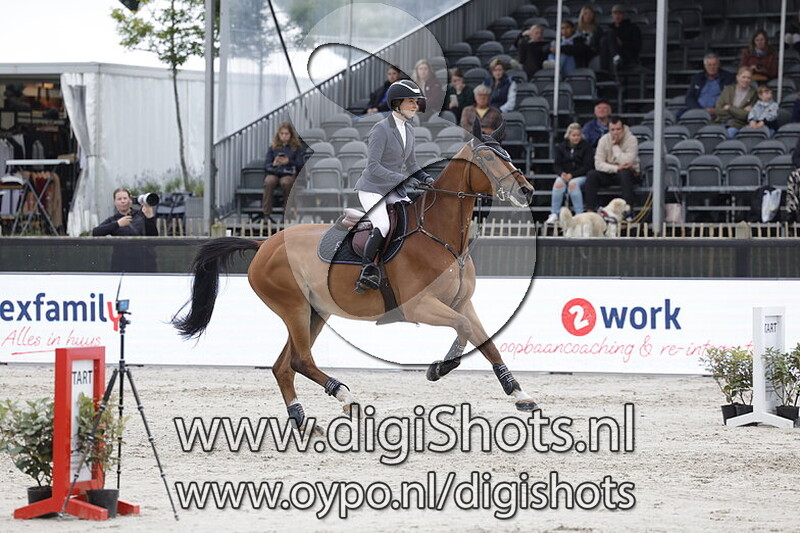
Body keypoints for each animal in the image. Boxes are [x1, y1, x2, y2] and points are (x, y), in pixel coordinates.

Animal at [172, 119, 538, 432]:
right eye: (488, 156)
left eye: (509, 154)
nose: (527, 191)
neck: (441, 236)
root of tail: (265, 243)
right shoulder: (419, 306)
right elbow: (463, 330)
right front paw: (437, 369)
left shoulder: (462, 303)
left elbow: (485, 342)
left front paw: (521, 395)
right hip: (294, 307)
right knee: (300, 361)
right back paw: (347, 397)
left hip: (314, 312)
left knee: (283, 366)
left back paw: (302, 419)